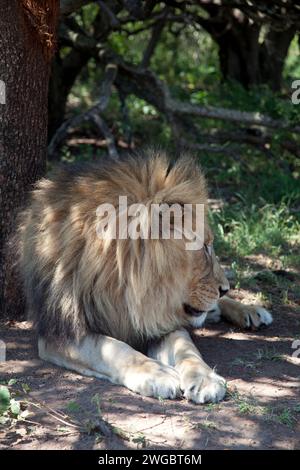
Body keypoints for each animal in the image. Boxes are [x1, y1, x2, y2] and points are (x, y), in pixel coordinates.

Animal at [18, 150, 272, 404]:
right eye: (204, 247)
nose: (225, 288)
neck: (124, 291)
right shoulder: (59, 331)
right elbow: (113, 348)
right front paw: (158, 374)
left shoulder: (160, 319)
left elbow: (186, 347)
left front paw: (204, 379)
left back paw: (251, 312)